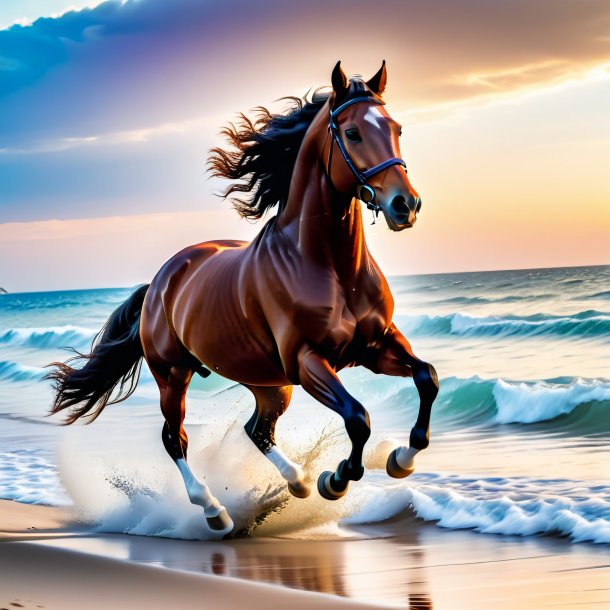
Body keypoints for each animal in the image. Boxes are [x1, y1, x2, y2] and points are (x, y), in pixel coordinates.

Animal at [47, 61, 436, 536]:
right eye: (352, 133)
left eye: (396, 128)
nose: (405, 205)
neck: (330, 268)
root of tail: (160, 281)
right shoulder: (309, 362)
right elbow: (357, 417)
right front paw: (337, 480)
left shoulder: (376, 346)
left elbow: (427, 378)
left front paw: (401, 459)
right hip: (174, 374)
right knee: (175, 439)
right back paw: (216, 510)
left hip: (265, 380)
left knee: (258, 429)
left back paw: (296, 484)